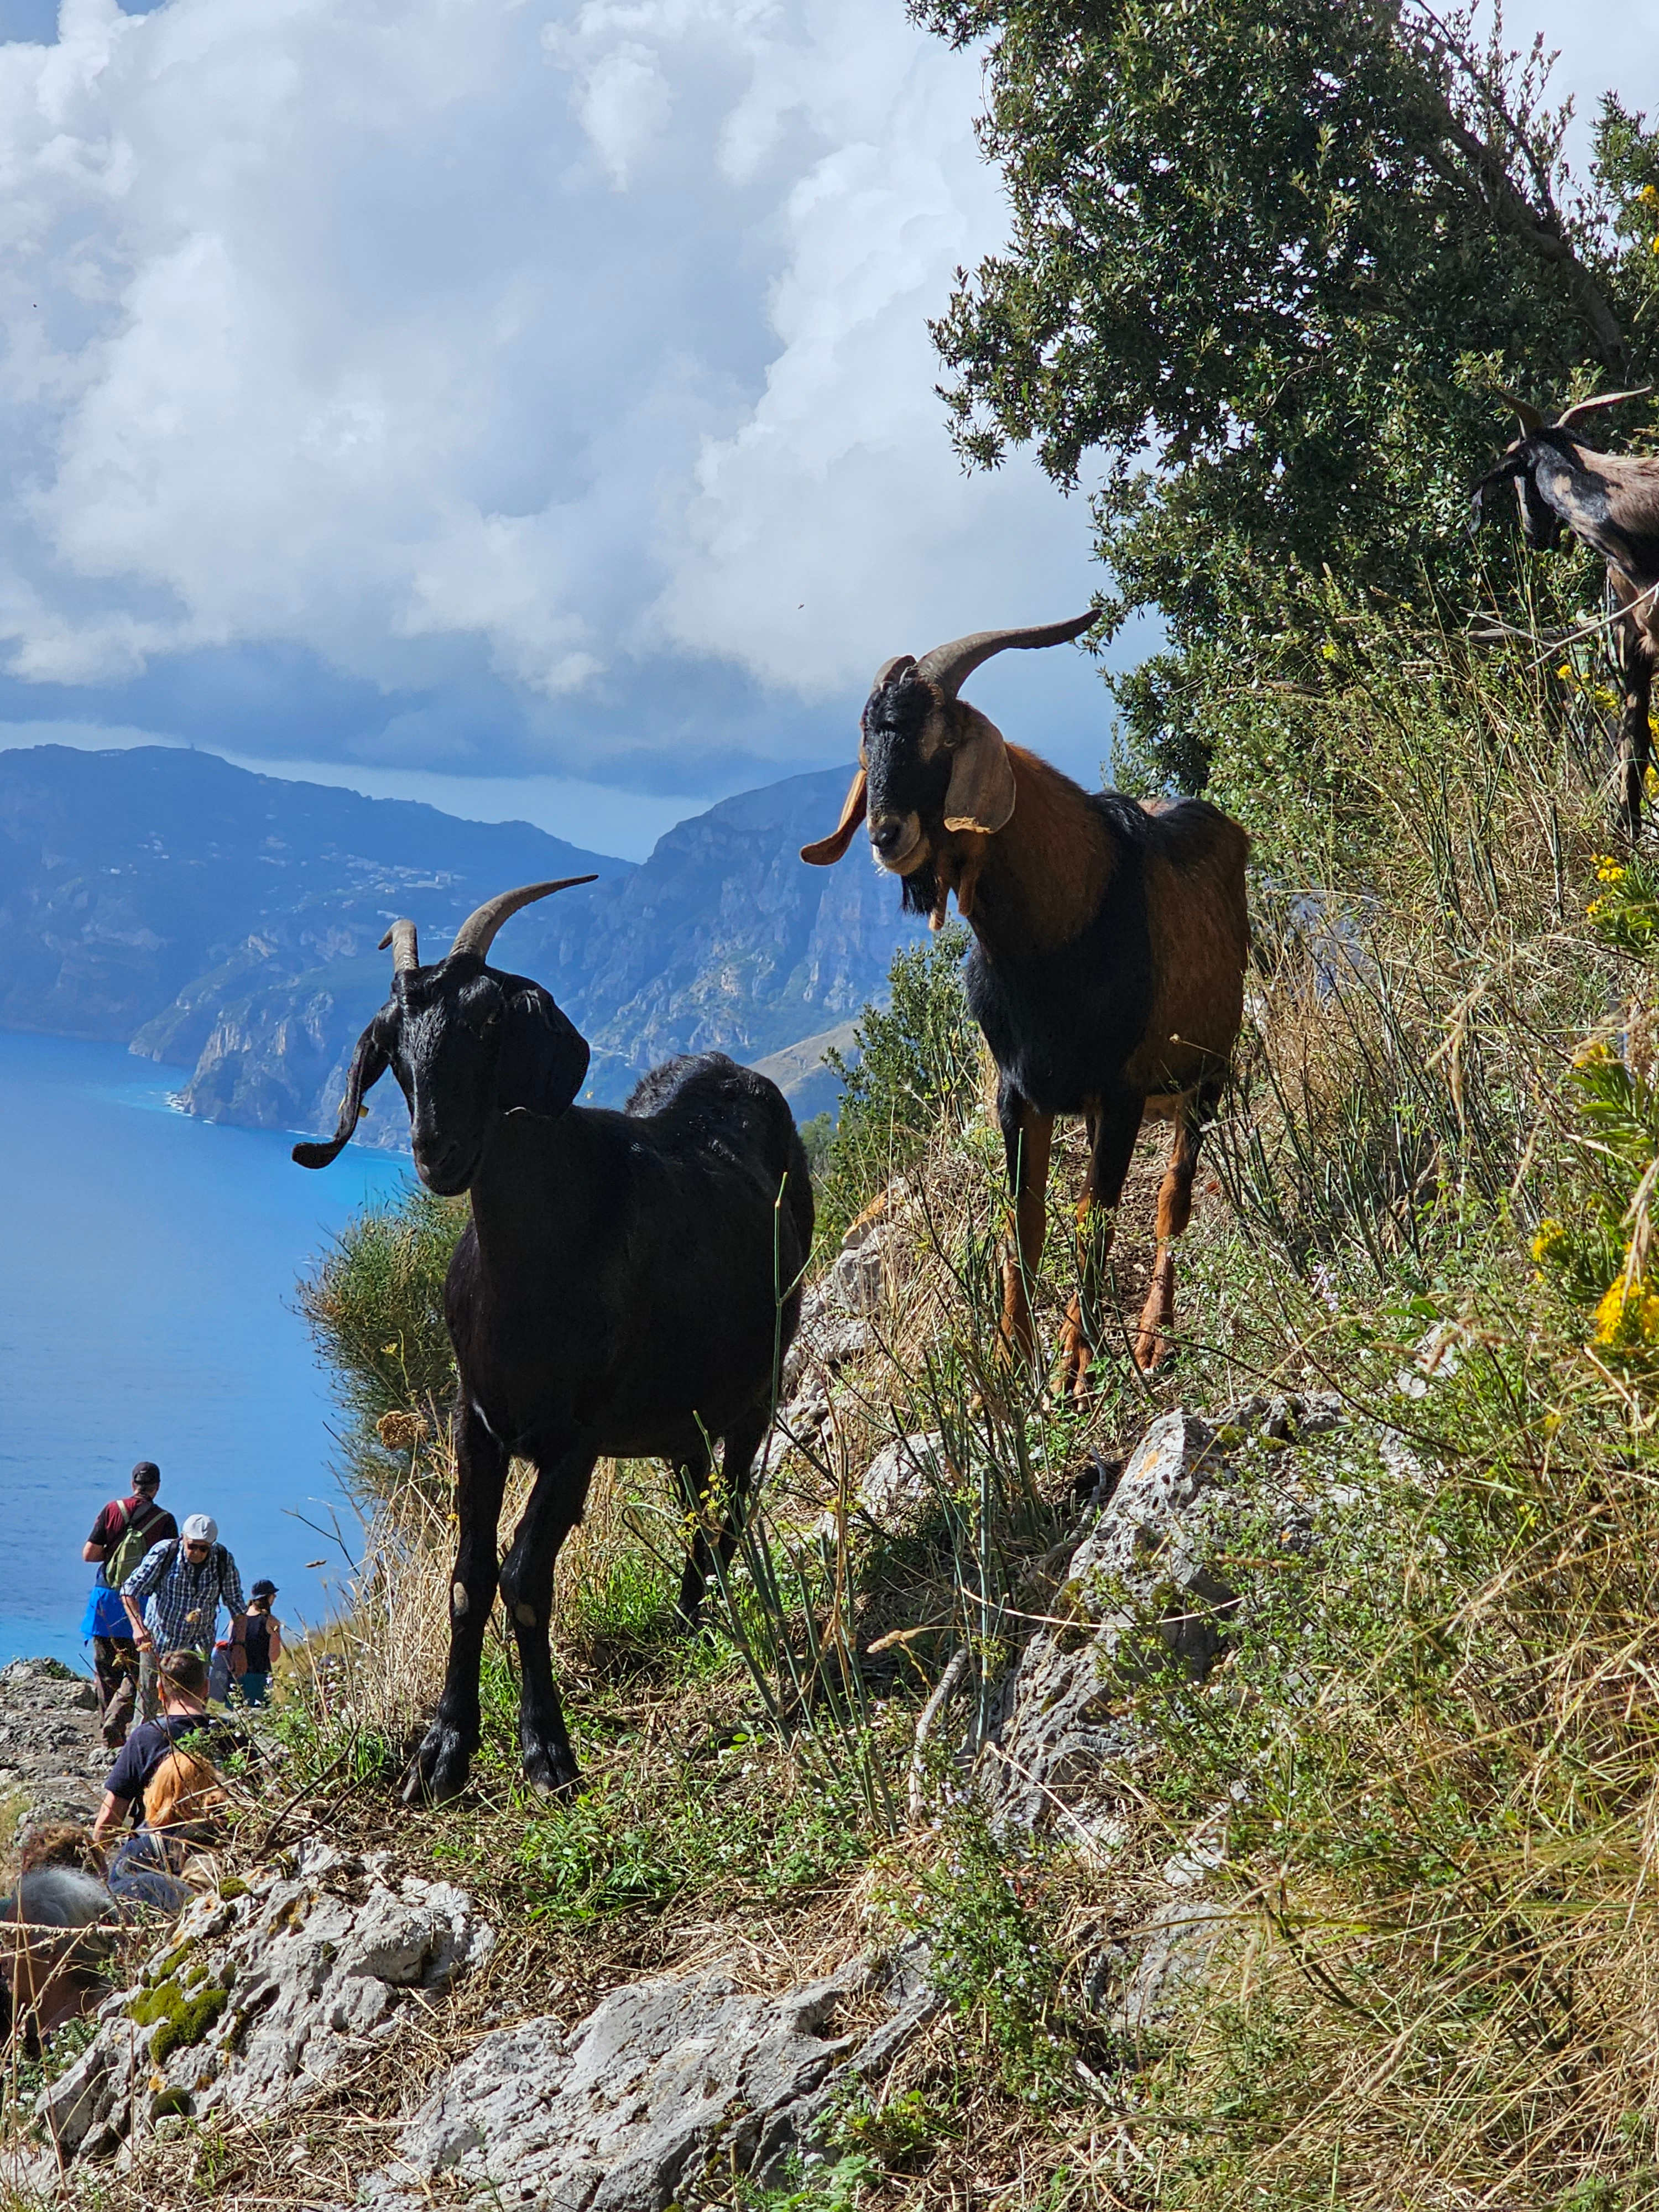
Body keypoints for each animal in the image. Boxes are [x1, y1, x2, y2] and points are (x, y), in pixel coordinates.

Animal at [303, 876, 823, 1796]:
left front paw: (546, 1751)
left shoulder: (576, 1434)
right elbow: (470, 1576)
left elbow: (525, 1577)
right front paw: (444, 1748)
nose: (436, 1152)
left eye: (486, 1023)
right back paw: (685, 1615)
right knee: (695, 1499)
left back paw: (716, 1619)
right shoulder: (477, 1421)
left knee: (727, 1502)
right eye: (392, 1045)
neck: (532, 1268)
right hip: (678, 1420)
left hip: (754, 1389)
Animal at [801, 615, 1248, 1380]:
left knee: (1172, 1199)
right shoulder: (1019, 1093)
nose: (886, 835)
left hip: (1205, 1074)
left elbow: (1096, 1216)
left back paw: (1153, 1336)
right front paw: (1010, 1362)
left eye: (943, 736)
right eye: (867, 740)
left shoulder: (1121, 1091)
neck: (1056, 931)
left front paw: (1074, 1363)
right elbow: (1025, 1219)